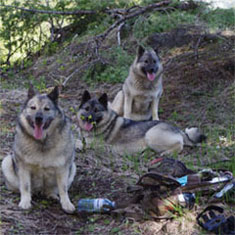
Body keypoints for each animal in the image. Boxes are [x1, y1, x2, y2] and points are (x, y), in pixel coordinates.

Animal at [76, 91, 206, 155]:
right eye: (86, 109)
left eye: (96, 110)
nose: (88, 119)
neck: (106, 123)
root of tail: (177, 129)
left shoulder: (99, 145)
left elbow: (80, 143)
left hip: (150, 135)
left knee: (180, 145)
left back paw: (166, 153)